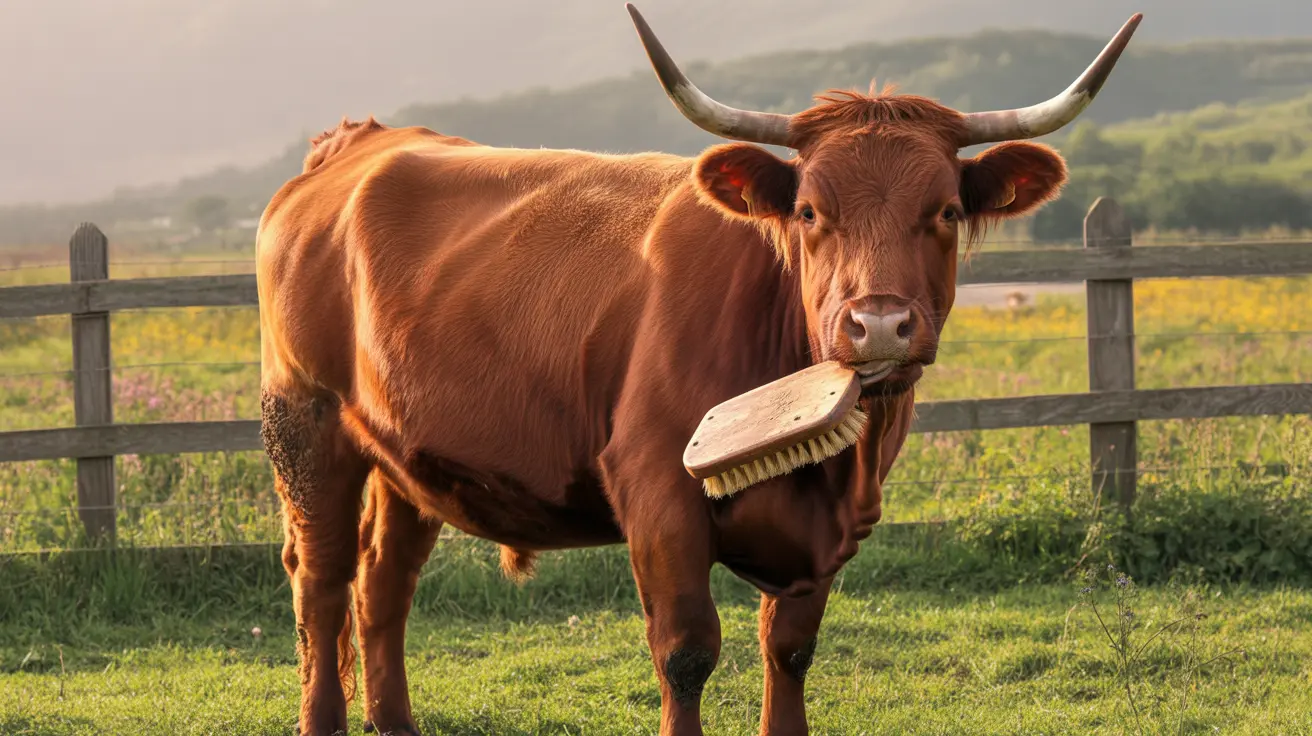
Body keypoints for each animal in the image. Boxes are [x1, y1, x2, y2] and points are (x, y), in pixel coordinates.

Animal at [255, 5, 1141, 734]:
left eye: (948, 211)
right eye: (810, 211)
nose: (880, 323)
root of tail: (359, 142)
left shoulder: (822, 538)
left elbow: (789, 649)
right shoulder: (658, 493)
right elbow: (686, 652)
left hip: (405, 456)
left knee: (383, 585)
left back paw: (396, 723)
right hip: (306, 425)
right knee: (321, 584)